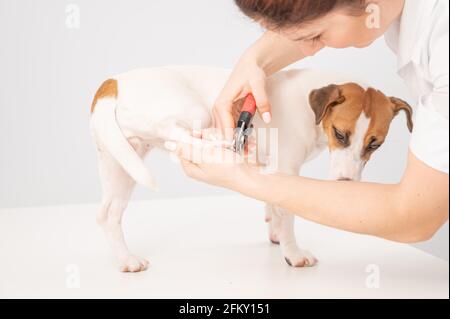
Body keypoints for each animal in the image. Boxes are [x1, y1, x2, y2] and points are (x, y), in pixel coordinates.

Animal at [89, 66, 414, 274]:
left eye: (375, 144)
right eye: (340, 134)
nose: (346, 183)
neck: (313, 113)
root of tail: (113, 82)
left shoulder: (275, 172)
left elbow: (275, 202)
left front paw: (275, 231)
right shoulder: (287, 168)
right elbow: (288, 216)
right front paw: (293, 253)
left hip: (122, 160)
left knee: (108, 215)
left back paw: (126, 259)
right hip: (192, 111)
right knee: (178, 133)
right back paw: (215, 140)